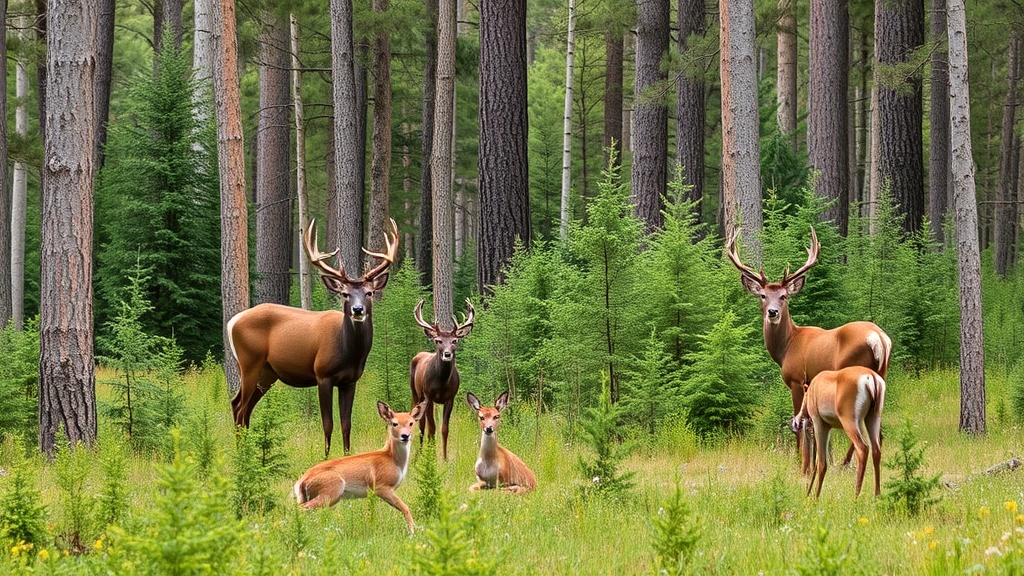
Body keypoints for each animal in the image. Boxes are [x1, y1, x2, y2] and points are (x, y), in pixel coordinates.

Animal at [227, 218, 399, 457]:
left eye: (369, 292)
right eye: (345, 294)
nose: (357, 310)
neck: (349, 352)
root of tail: (232, 321)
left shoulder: (350, 381)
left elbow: (346, 424)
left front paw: (347, 456)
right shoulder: (322, 375)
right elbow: (328, 423)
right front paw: (325, 457)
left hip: (267, 373)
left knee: (240, 405)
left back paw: (246, 451)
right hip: (249, 362)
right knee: (241, 408)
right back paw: (243, 454)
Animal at [293, 400, 427, 532]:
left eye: (411, 423)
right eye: (394, 423)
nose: (405, 436)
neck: (394, 460)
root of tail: (301, 481)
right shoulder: (381, 486)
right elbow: (405, 507)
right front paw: (412, 531)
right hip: (330, 491)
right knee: (303, 508)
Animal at [409, 298, 475, 460]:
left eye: (455, 340)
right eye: (438, 340)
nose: (447, 354)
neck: (441, 383)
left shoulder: (450, 398)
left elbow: (445, 428)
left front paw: (444, 458)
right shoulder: (429, 396)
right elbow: (431, 428)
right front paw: (430, 456)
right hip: (416, 393)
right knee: (420, 423)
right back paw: (420, 452)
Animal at [726, 227, 891, 475]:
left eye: (784, 296)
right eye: (763, 295)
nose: (772, 312)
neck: (787, 346)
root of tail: (880, 338)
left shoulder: (796, 379)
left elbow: (798, 421)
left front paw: (798, 460)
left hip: (853, 372)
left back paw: (845, 463)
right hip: (881, 376)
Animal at [791, 366, 886, 497]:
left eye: (804, 396)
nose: (796, 422)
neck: (813, 388)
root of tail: (870, 377)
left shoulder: (819, 422)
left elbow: (822, 463)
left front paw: (815, 496)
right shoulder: (828, 427)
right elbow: (818, 461)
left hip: (850, 422)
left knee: (863, 448)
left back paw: (856, 495)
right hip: (872, 417)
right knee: (876, 450)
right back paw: (876, 495)